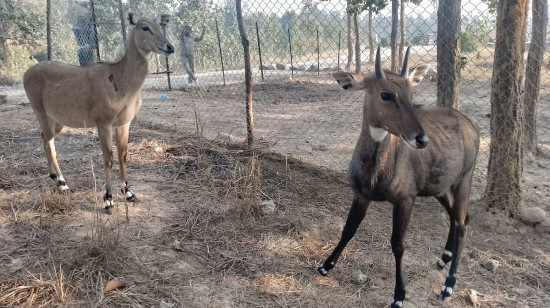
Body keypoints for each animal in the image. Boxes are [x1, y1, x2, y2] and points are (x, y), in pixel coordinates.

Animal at [23, 12, 175, 214]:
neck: (120, 80)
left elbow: (123, 155)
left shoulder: (124, 123)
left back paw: (55, 179)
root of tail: (26, 73)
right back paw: (63, 184)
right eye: (145, 27)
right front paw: (108, 200)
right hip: (40, 112)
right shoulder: (103, 123)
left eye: (160, 26)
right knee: (48, 143)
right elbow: (108, 158)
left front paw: (129, 193)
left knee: (45, 139)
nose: (169, 47)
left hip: (57, 120)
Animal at [316, 47, 480, 306]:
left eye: (412, 93)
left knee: (461, 223)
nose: (421, 139)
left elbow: (398, 245)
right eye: (386, 94)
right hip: (440, 188)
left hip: (462, 181)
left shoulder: (404, 200)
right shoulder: (361, 195)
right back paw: (443, 258)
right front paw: (325, 265)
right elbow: (348, 229)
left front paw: (399, 295)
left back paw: (448, 286)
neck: (376, 171)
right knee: (458, 218)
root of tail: (471, 125)